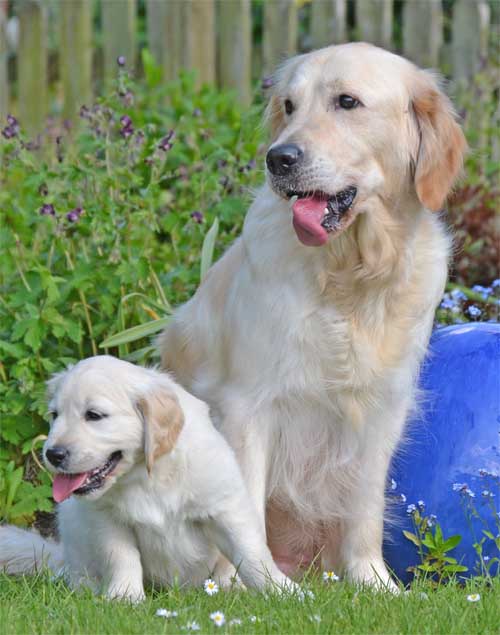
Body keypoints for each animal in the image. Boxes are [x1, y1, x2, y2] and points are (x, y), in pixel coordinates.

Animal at [0, 356, 294, 601]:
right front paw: (125, 597)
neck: (147, 476)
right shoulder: (107, 520)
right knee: (77, 571)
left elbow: (251, 551)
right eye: (54, 415)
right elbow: (121, 556)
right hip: (72, 522)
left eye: (94, 415)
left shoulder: (224, 507)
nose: (53, 454)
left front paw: (282, 590)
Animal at [158, 42, 466, 589]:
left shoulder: (383, 409)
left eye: (347, 102)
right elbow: (243, 507)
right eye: (289, 106)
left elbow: (364, 510)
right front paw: (242, 587)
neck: (351, 275)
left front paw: (374, 583)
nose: (278, 158)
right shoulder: (246, 405)